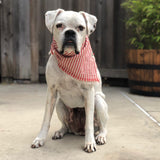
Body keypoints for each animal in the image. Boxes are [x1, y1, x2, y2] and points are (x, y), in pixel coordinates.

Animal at [31, 8, 109, 152]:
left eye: (81, 28)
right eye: (59, 25)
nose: (70, 32)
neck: (69, 57)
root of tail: (78, 131)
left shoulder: (89, 93)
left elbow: (89, 123)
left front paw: (89, 142)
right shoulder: (51, 92)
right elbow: (46, 119)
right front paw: (40, 139)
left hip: (98, 101)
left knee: (102, 126)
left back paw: (100, 136)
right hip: (60, 104)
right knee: (66, 126)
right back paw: (60, 132)